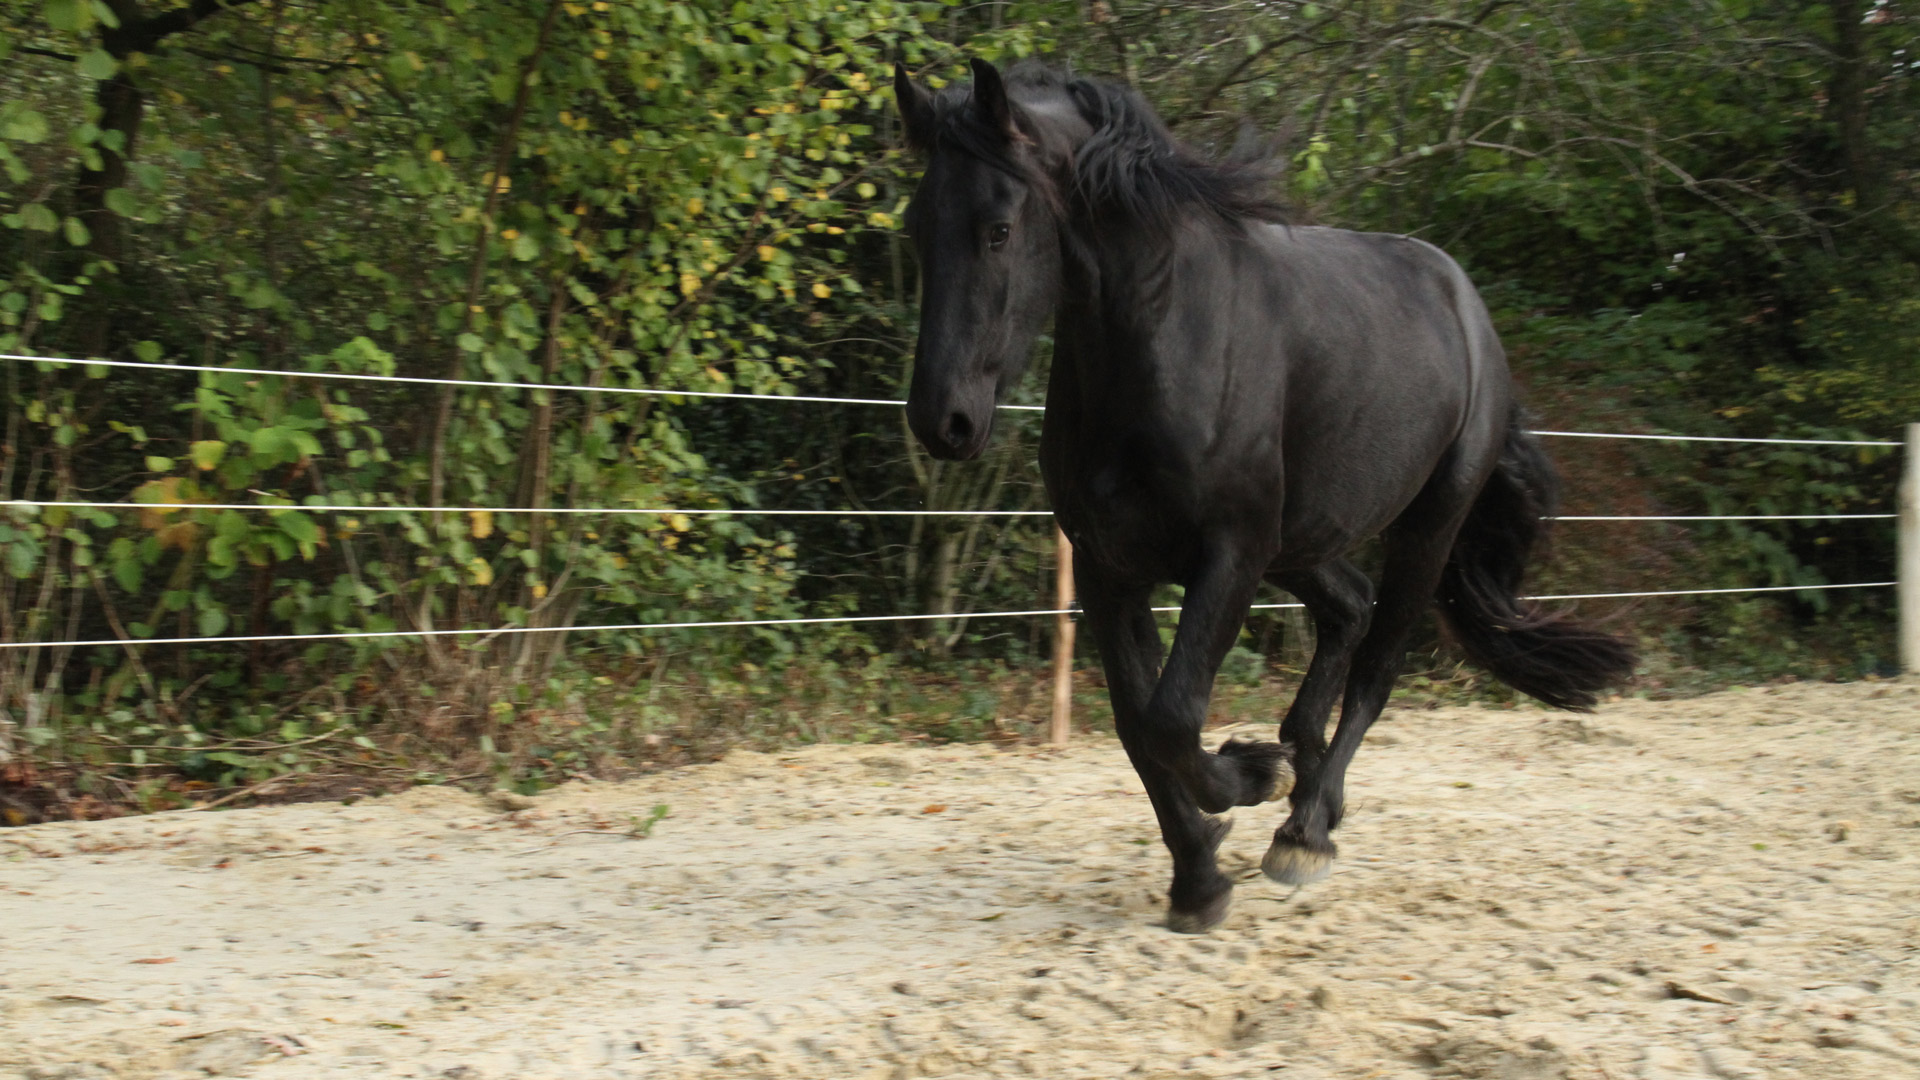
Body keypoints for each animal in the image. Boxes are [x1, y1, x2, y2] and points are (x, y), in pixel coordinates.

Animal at [890, 61, 1628, 933]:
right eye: (916, 227)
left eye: (999, 229)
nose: (943, 421)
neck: (1164, 343)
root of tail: (1469, 310)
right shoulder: (1111, 567)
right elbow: (1138, 725)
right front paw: (1200, 873)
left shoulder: (1230, 552)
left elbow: (1173, 718)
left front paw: (1247, 776)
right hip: (1304, 539)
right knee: (1348, 608)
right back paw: (1306, 778)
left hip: (1424, 529)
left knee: (1377, 664)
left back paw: (1305, 828)